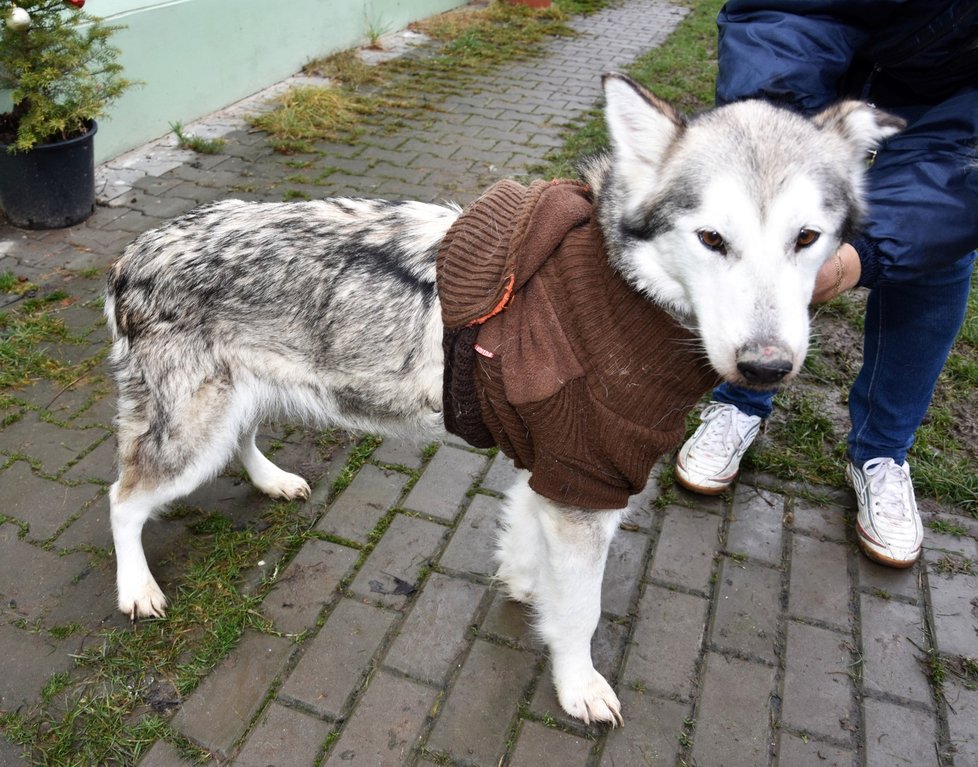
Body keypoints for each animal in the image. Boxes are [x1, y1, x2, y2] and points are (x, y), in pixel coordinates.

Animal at [105, 75, 900, 728]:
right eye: (712, 238)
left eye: (807, 237)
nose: (766, 367)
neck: (624, 296)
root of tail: (133, 253)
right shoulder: (587, 485)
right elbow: (582, 610)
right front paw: (578, 686)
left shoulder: (550, 468)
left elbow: (523, 542)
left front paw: (522, 587)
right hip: (189, 435)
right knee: (122, 498)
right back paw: (136, 589)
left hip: (230, 410)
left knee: (236, 446)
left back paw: (271, 480)